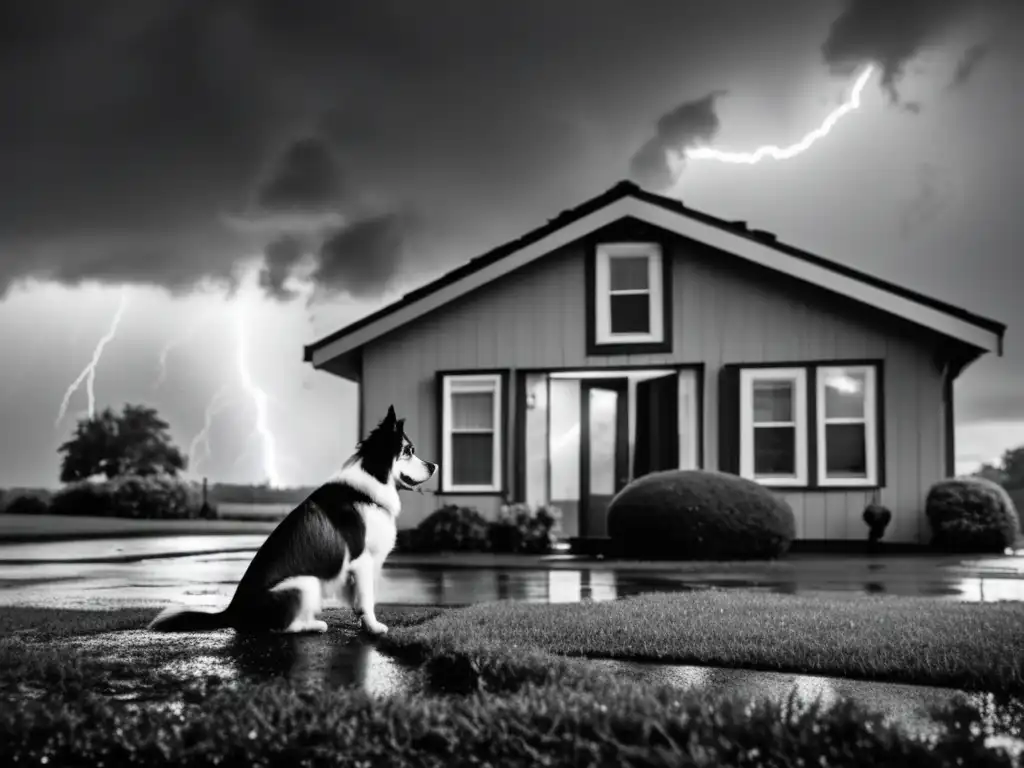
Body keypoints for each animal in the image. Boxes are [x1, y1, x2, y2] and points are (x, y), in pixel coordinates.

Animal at [149, 405, 436, 638]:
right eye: (409, 451)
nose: (434, 466)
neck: (372, 481)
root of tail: (232, 611)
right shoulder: (362, 560)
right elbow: (367, 599)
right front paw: (374, 628)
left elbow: (359, 602)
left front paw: (364, 623)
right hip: (305, 583)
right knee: (282, 627)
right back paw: (314, 625)